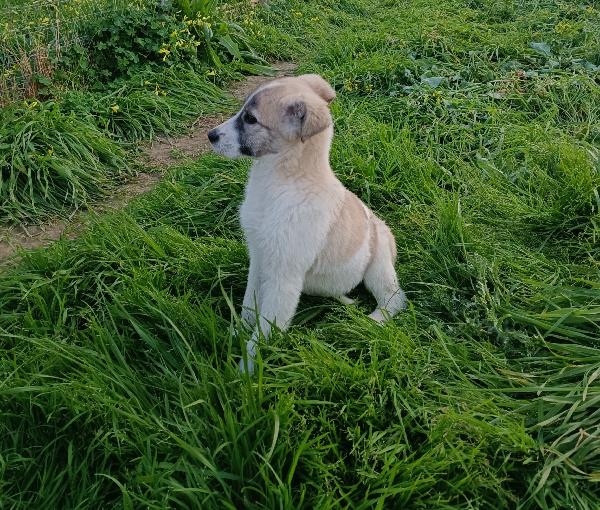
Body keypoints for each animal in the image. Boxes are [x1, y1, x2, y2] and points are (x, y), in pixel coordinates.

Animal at [207, 73, 408, 372]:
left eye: (251, 119)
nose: (210, 136)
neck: (282, 184)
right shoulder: (259, 259)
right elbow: (248, 305)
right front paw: (237, 334)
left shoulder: (284, 277)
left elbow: (264, 331)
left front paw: (246, 370)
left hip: (379, 263)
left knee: (394, 298)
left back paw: (367, 323)